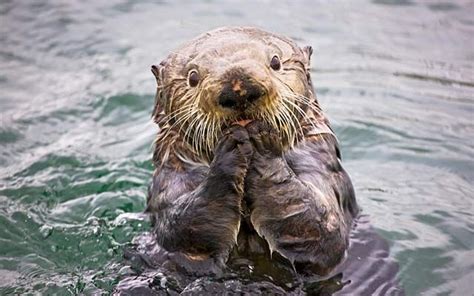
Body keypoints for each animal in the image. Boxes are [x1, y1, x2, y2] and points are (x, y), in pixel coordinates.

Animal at [146, 26, 358, 274]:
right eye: (192, 77)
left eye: (275, 62)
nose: (238, 88)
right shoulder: (170, 180)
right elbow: (179, 229)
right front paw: (232, 147)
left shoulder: (320, 166)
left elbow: (325, 229)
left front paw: (261, 146)